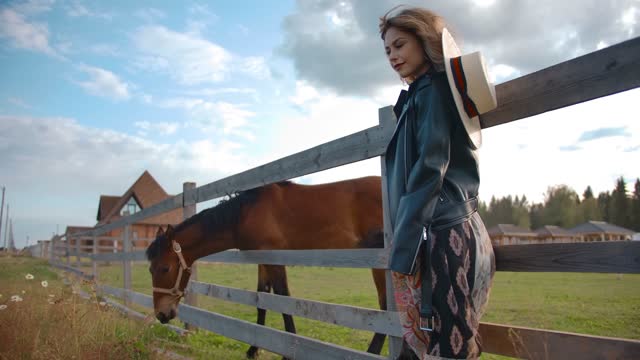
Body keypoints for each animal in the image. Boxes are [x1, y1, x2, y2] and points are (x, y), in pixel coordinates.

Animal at [145, 175, 384, 358]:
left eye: (165, 268)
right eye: (150, 269)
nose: (161, 314)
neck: (247, 213)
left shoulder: (275, 258)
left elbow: (283, 300)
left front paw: (288, 351)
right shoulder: (262, 260)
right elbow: (262, 298)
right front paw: (253, 349)